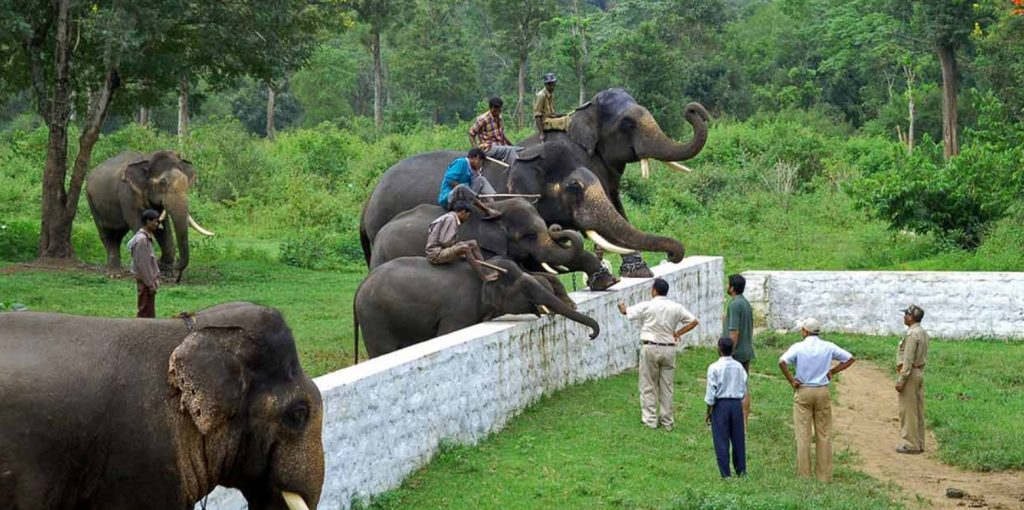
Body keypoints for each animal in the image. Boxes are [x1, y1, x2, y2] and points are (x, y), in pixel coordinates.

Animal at [87, 147, 215, 282]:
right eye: (163, 182)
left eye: (186, 181)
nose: (178, 274)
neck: (147, 158)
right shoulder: (128, 194)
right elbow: (138, 224)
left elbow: (163, 228)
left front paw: (166, 273)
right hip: (92, 202)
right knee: (106, 235)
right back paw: (115, 274)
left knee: (118, 235)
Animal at [354, 257, 598, 360]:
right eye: (526, 288)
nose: (591, 335)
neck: (487, 270)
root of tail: (359, 289)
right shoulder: (458, 311)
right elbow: (446, 333)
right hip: (375, 318)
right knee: (383, 350)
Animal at [358, 88, 704, 278]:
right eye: (628, 123)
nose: (692, 109)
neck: (577, 116)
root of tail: (367, 201)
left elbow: (615, 208)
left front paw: (638, 272)